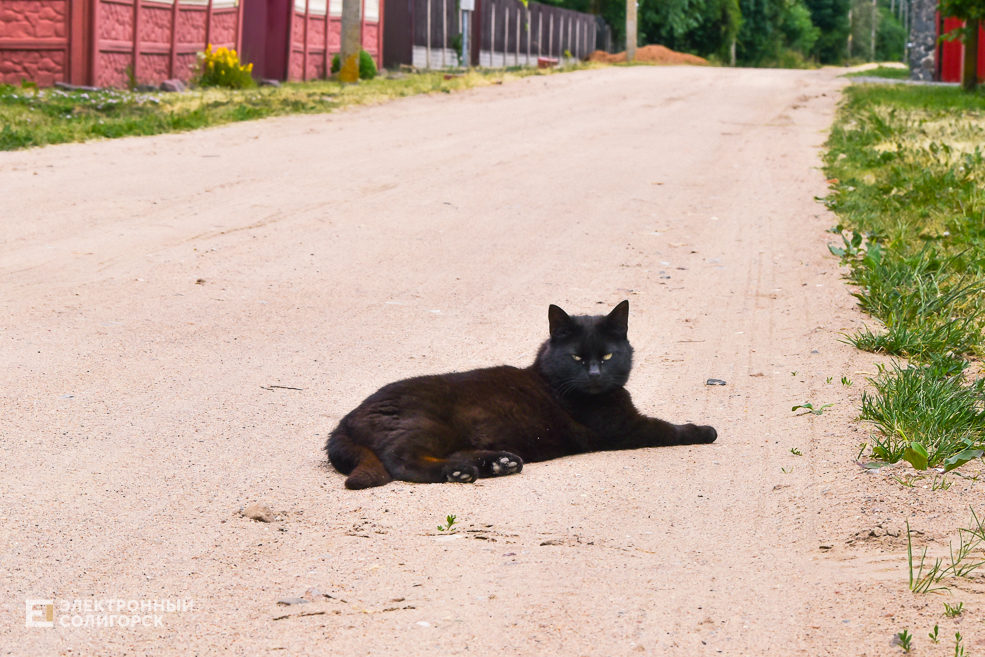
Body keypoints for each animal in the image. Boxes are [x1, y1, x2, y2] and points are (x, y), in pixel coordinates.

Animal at [326, 302, 720, 486]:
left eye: (607, 356)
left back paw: (500, 462)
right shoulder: (624, 427)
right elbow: (667, 428)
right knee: (400, 458)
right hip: (427, 423)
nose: (594, 374)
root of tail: (344, 420)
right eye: (577, 358)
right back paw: (461, 472)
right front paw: (704, 430)